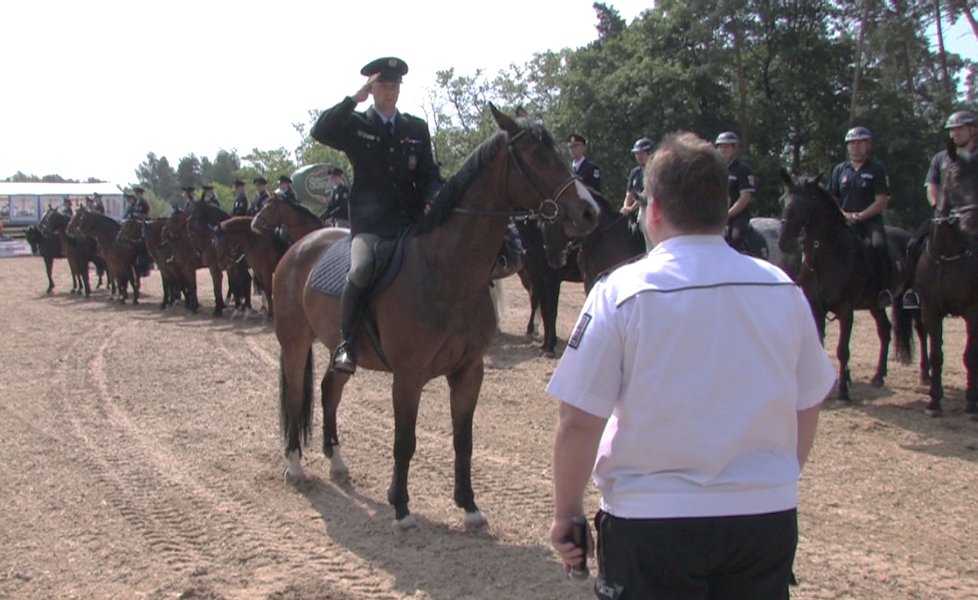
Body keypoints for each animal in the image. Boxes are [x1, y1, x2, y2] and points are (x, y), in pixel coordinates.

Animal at [270, 105, 600, 528]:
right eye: (537, 154)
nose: (589, 211)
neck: (446, 268)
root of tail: (299, 246)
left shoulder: (469, 372)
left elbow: (464, 439)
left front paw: (469, 506)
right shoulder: (408, 376)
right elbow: (404, 441)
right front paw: (400, 507)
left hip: (340, 350)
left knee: (330, 390)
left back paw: (338, 463)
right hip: (295, 344)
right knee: (296, 398)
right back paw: (295, 468)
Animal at [772, 169, 912, 400]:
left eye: (806, 203)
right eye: (782, 200)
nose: (785, 243)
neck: (828, 256)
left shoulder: (846, 309)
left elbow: (842, 350)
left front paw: (843, 391)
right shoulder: (816, 307)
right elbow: (820, 344)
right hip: (874, 305)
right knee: (885, 330)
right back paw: (878, 376)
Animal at [892, 143, 976, 420]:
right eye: (955, 177)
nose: (972, 220)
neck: (949, 254)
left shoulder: (972, 311)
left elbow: (969, 355)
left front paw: (971, 403)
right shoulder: (930, 308)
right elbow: (936, 352)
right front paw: (933, 402)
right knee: (922, 335)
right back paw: (925, 375)